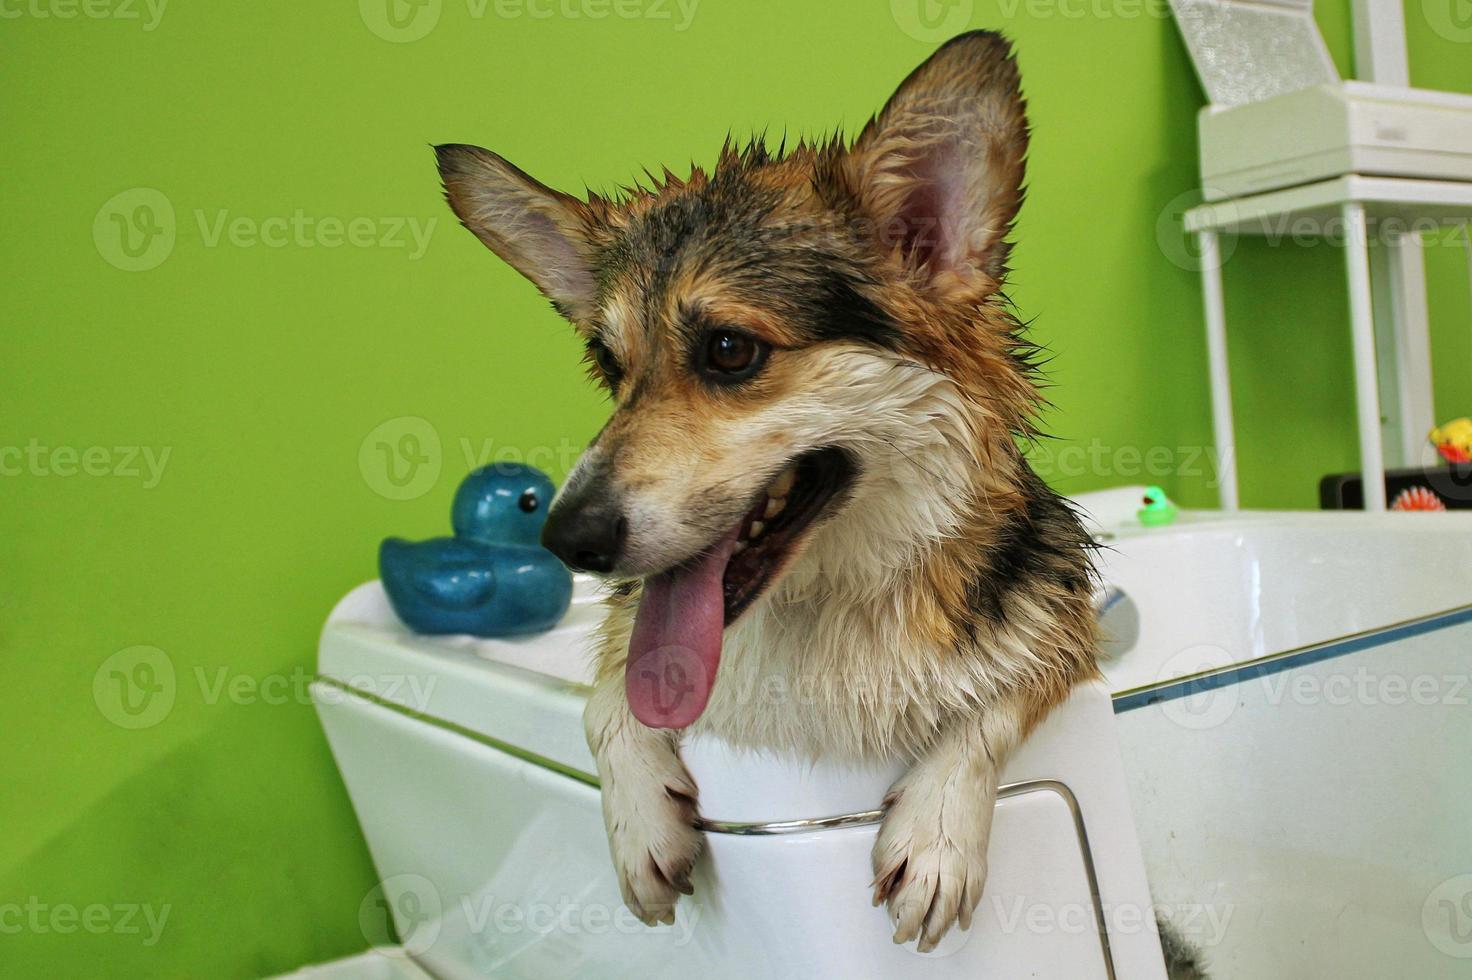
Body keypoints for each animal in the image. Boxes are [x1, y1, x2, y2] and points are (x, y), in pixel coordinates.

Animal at [429, 32, 1101, 953]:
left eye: (729, 350)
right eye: (609, 364)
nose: (566, 542)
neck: (817, 611)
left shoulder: (1068, 626)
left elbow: (996, 697)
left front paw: (935, 835)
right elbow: (605, 698)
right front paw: (638, 821)